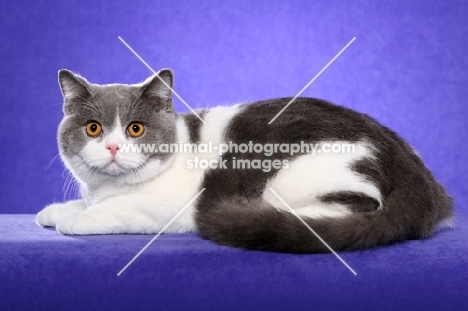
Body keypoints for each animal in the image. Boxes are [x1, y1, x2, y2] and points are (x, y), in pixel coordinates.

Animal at [36, 69, 454, 254]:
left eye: (135, 129)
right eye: (93, 128)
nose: (112, 147)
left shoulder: (165, 208)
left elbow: (116, 209)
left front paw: (76, 219)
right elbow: (85, 203)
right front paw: (56, 211)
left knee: (355, 209)